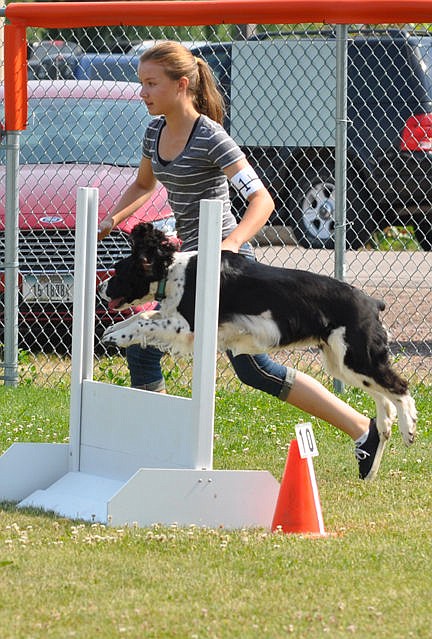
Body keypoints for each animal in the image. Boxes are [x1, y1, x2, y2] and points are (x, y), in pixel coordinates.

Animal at [99, 222, 416, 448]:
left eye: (118, 271)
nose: (101, 290)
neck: (174, 270)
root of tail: (372, 302)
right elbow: (143, 316)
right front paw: (113, 329)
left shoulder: (189, 326)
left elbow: (144, 324)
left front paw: (116, 337)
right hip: (342, 362)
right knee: (382, 394)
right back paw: (384, 427)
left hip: (356, 358)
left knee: (400, 387)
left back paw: (408, 429)